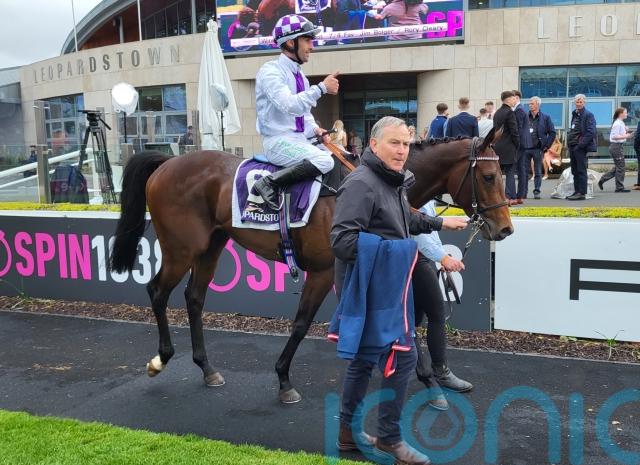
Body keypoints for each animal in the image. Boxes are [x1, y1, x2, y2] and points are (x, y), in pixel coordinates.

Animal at [110, 131, 513, 404]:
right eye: (489, 177)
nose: (505, 229)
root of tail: (167, 163)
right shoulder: (323, 271)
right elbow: (303, 323)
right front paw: (284, 380)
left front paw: (425, 378)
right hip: (182, 247)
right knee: (157, 291)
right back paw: (161, 359)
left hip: (212, 244)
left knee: (194, 297)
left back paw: (207, 368)